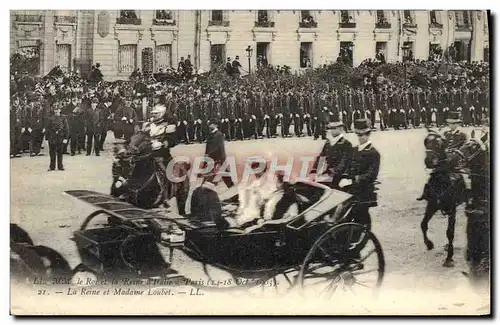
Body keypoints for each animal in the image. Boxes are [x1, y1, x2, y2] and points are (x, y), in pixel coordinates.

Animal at [420, 128, 466, 266]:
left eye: (439, 144)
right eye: (426, 142)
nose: (428, 161)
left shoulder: (452, 208)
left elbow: (450, 232)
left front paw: (449, 257)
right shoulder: (432, 205)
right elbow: (423, 224)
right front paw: (429, 244)